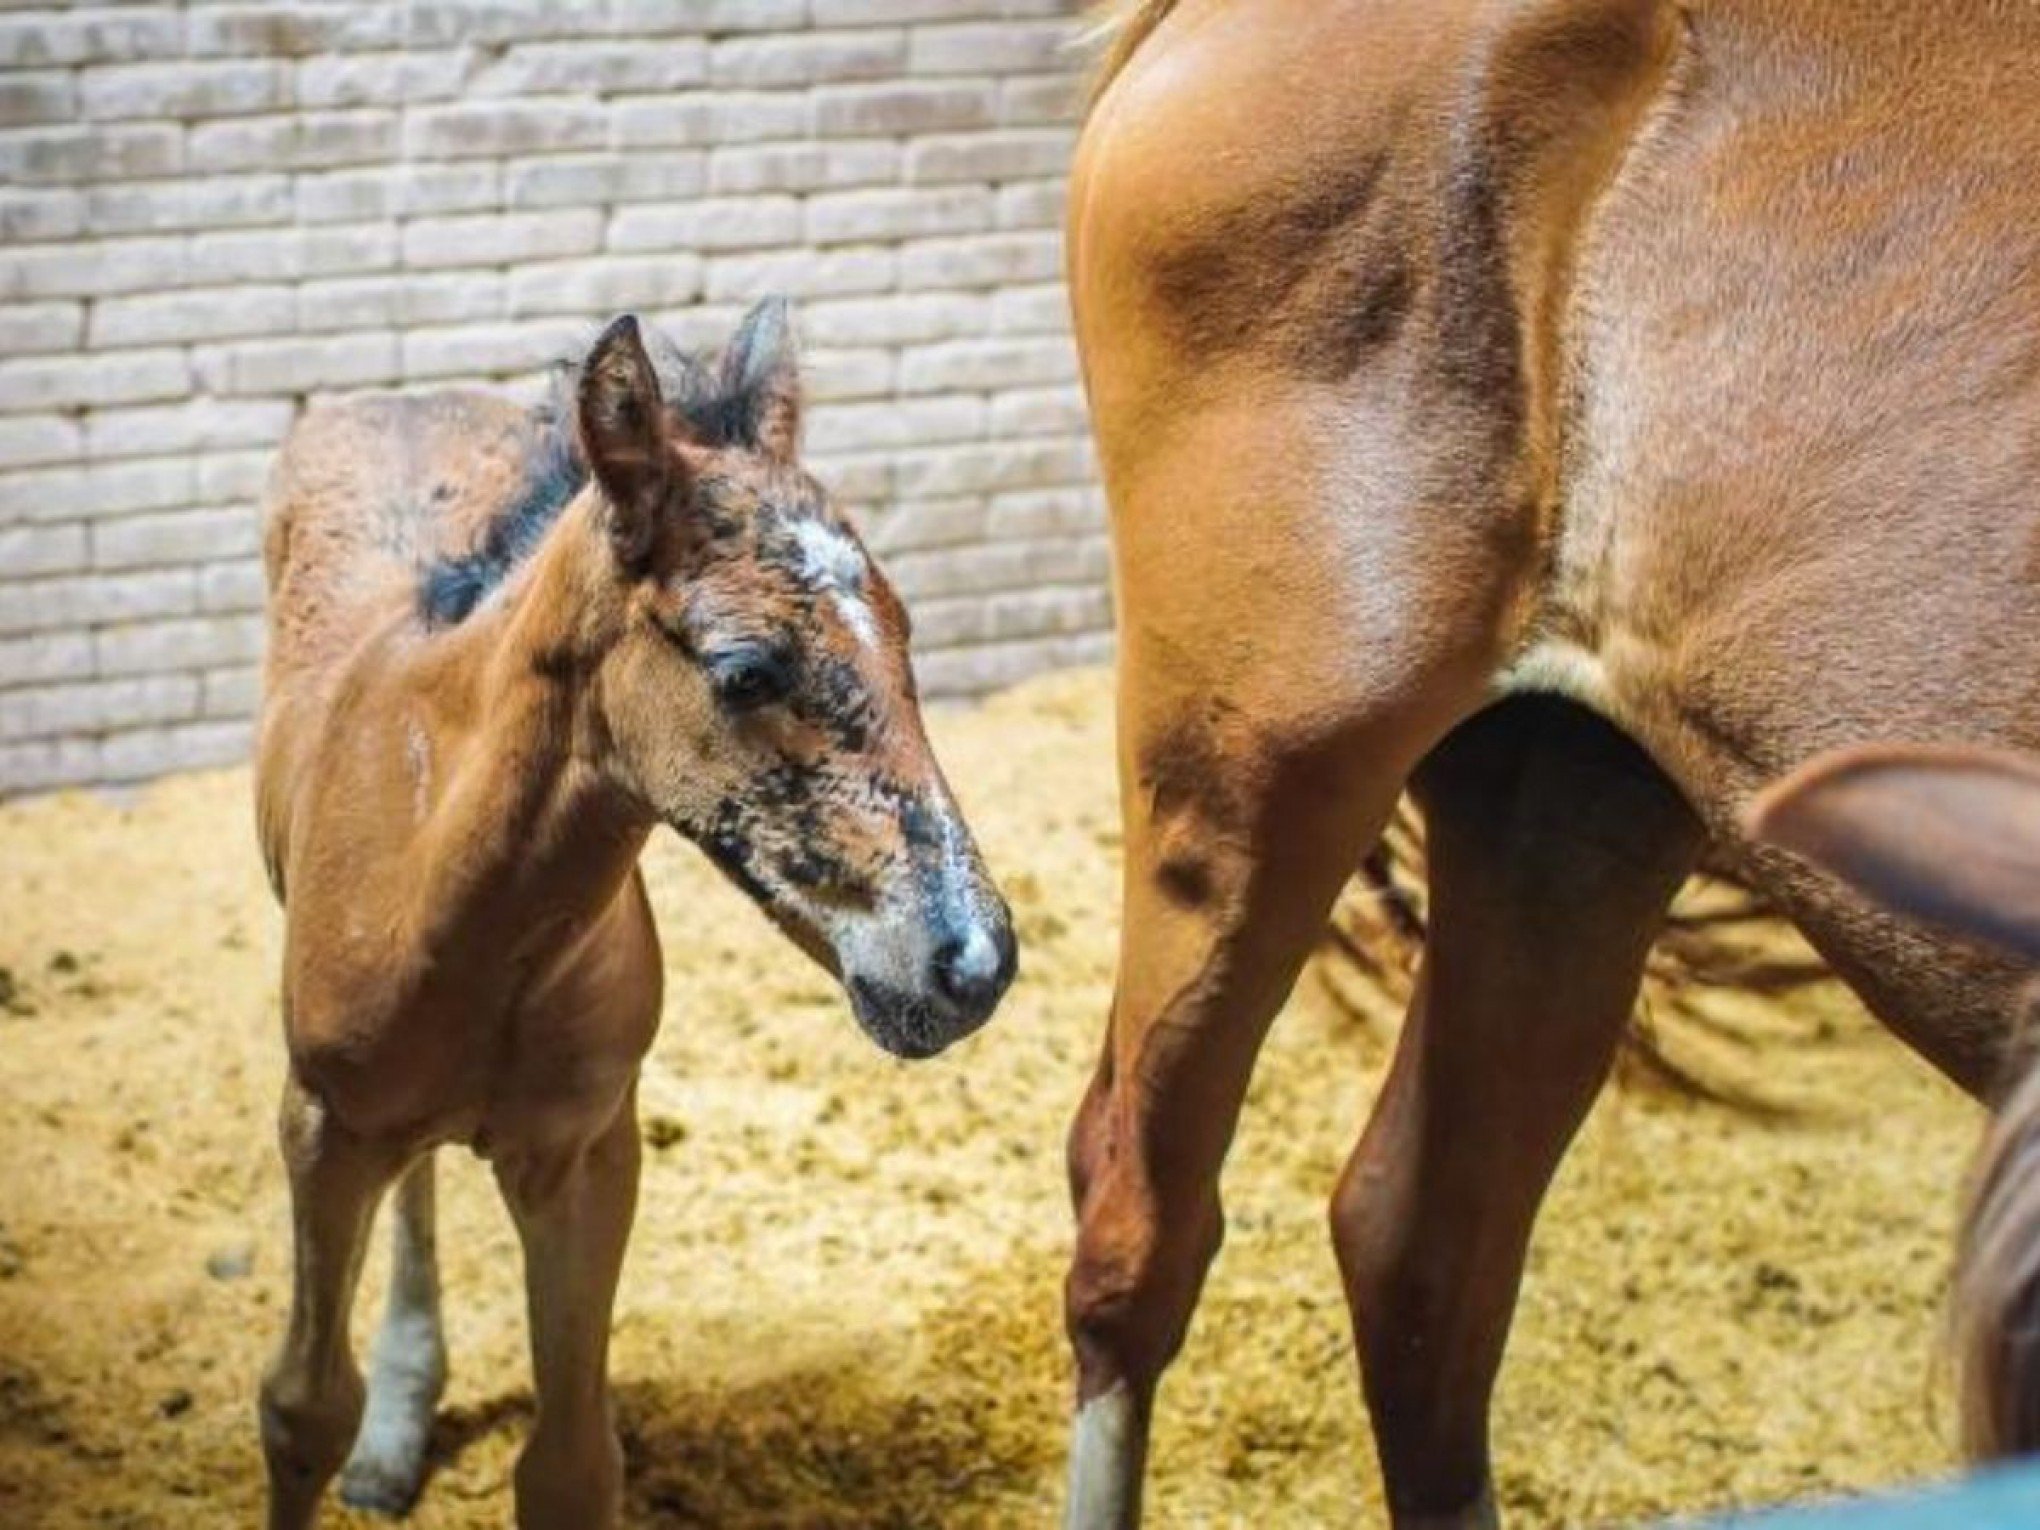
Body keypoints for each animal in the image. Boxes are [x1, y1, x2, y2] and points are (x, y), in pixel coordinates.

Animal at [257, 301, 1020, 1530]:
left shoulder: (585, 1149)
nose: (972, 962)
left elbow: (571, 1464)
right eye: (746, 671)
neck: (465, 917)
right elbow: (300, 1408)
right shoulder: (323, 1126)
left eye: (904, 630)